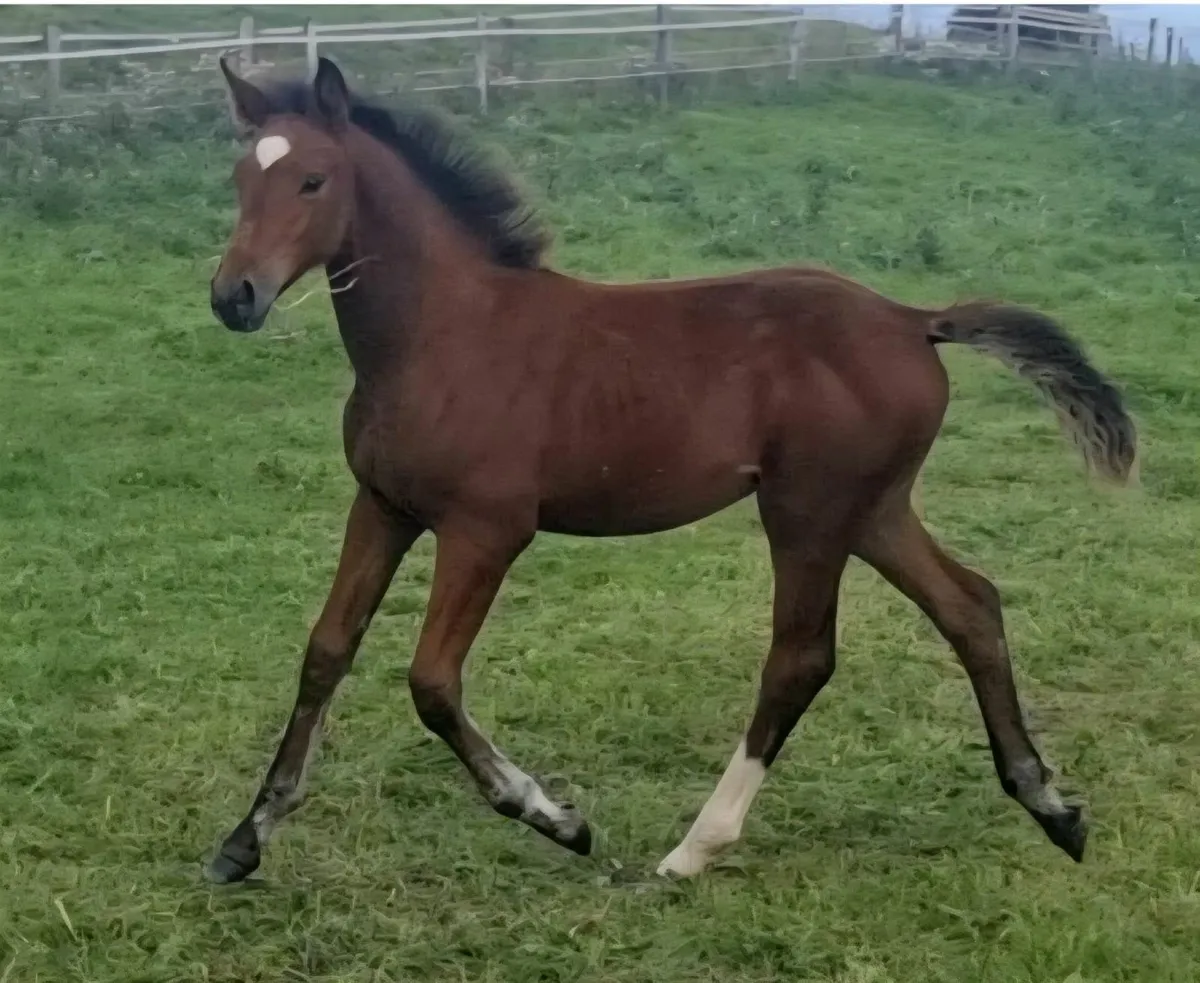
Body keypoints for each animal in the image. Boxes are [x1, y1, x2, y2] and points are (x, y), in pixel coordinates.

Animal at [204, 55, 1137, 884]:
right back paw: (1052, 806)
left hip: (807, 511)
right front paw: (245, 839)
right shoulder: (383, 506)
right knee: (971, 604)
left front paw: (556, 816)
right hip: (872, 509)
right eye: (241, 178)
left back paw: (695, 847)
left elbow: (431, 682)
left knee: (801, 656)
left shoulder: (486, 529)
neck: (444, 336)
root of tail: (914, 319)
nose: (233, 296)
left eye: (315, 181)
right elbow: (325, 651)